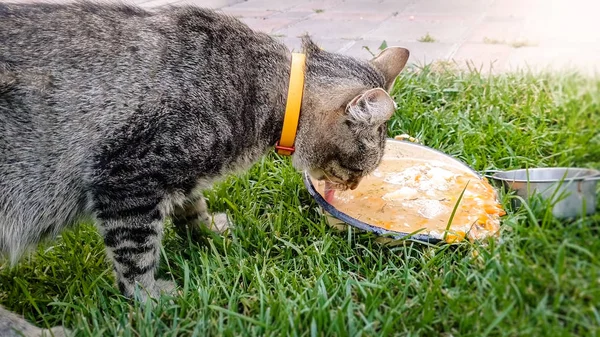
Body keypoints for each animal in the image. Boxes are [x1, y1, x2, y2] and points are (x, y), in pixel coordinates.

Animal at [0, 1, 408, 334]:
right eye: (357, 170)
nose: (352, 188)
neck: (263, 86)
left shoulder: (176, 174)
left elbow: (191, 202)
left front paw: (208, 229)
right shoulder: (127, 178)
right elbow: (135, 256)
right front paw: (151, 298)